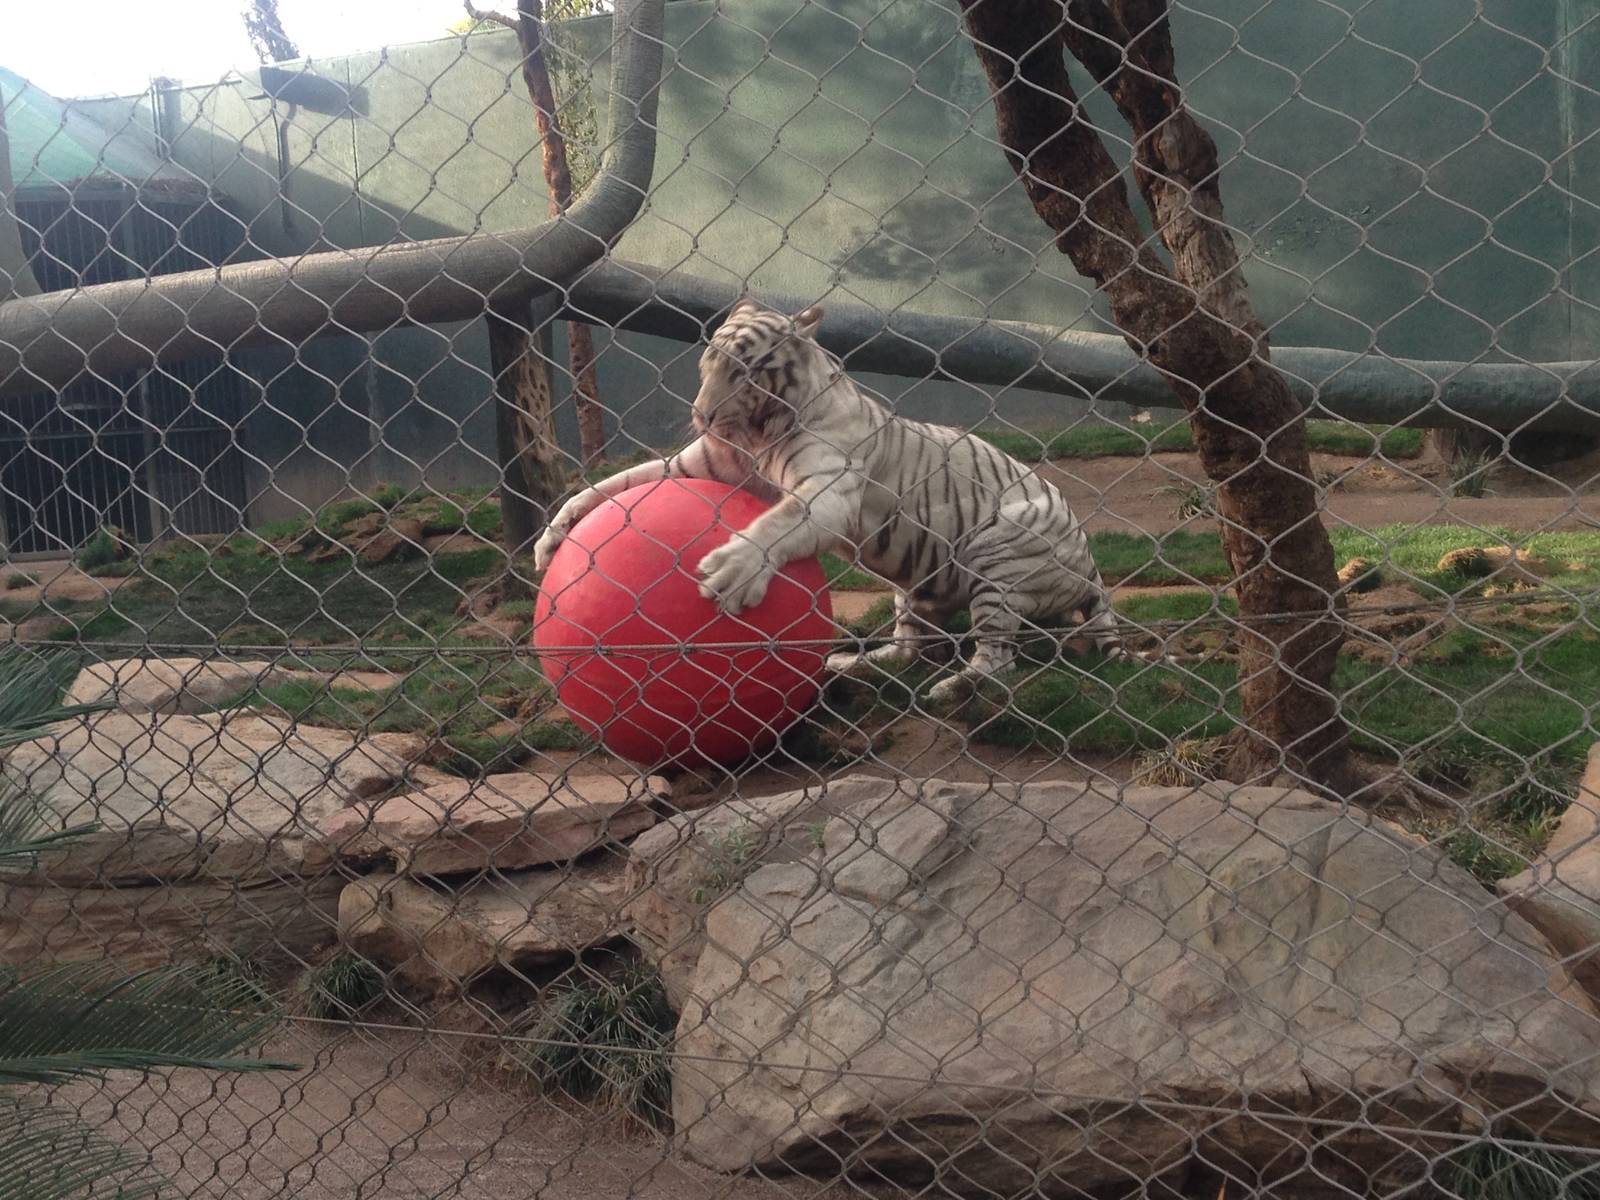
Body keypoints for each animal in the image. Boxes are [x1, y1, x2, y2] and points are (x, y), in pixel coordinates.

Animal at [531, 298, 1134, 706]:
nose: (702, 414)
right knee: (909, 649)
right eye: (707, 364)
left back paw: (950, 688)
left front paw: (731, 573)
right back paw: (851, 663)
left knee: (996, 660)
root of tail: (1091, 566)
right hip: (913, 589)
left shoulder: (828, 493)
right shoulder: (695, 466)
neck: (757, 433)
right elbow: (615, 484)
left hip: (999, 553)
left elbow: (779, 521)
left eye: (743, 371)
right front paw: (554, 534)